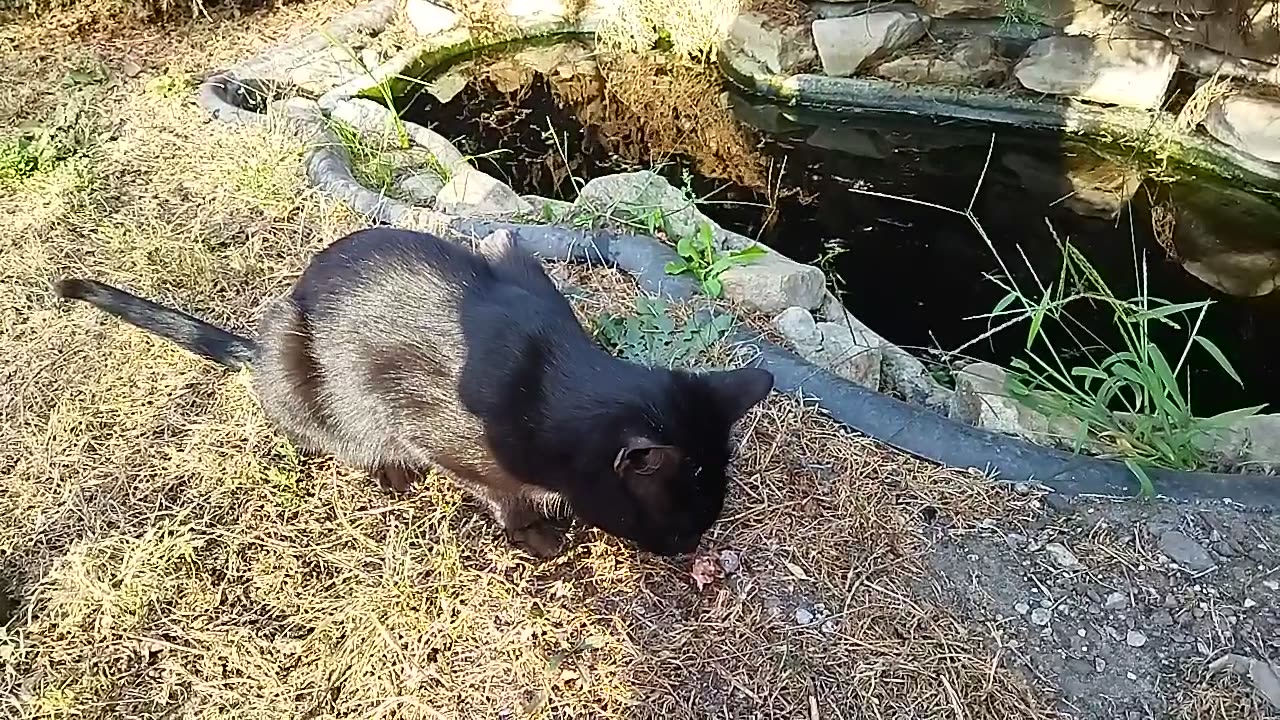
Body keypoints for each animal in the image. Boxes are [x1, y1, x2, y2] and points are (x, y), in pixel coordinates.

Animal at [55, 226, 768, 558]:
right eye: (678, 523)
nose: (690, 550)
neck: (557, 384)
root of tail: (255, 345)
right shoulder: (435, 428)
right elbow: (497, 492)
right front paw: (536, 535)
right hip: (291, 353)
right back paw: (388, 471)